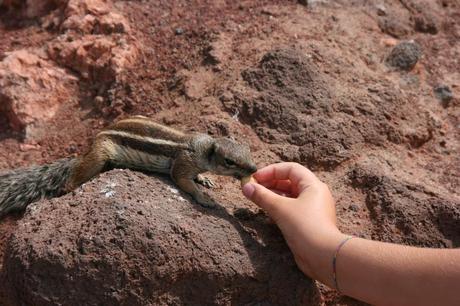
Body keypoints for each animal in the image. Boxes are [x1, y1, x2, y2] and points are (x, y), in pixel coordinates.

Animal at [0, 115, 256, 218]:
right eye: (229, 161)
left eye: (248, 152)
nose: (254, 169)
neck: (202, 148)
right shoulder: (182, 164)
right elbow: (183, 181)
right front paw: (204, 198)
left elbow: (196, 178)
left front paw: (204, 179)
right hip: (99, 155)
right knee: (73, 178)